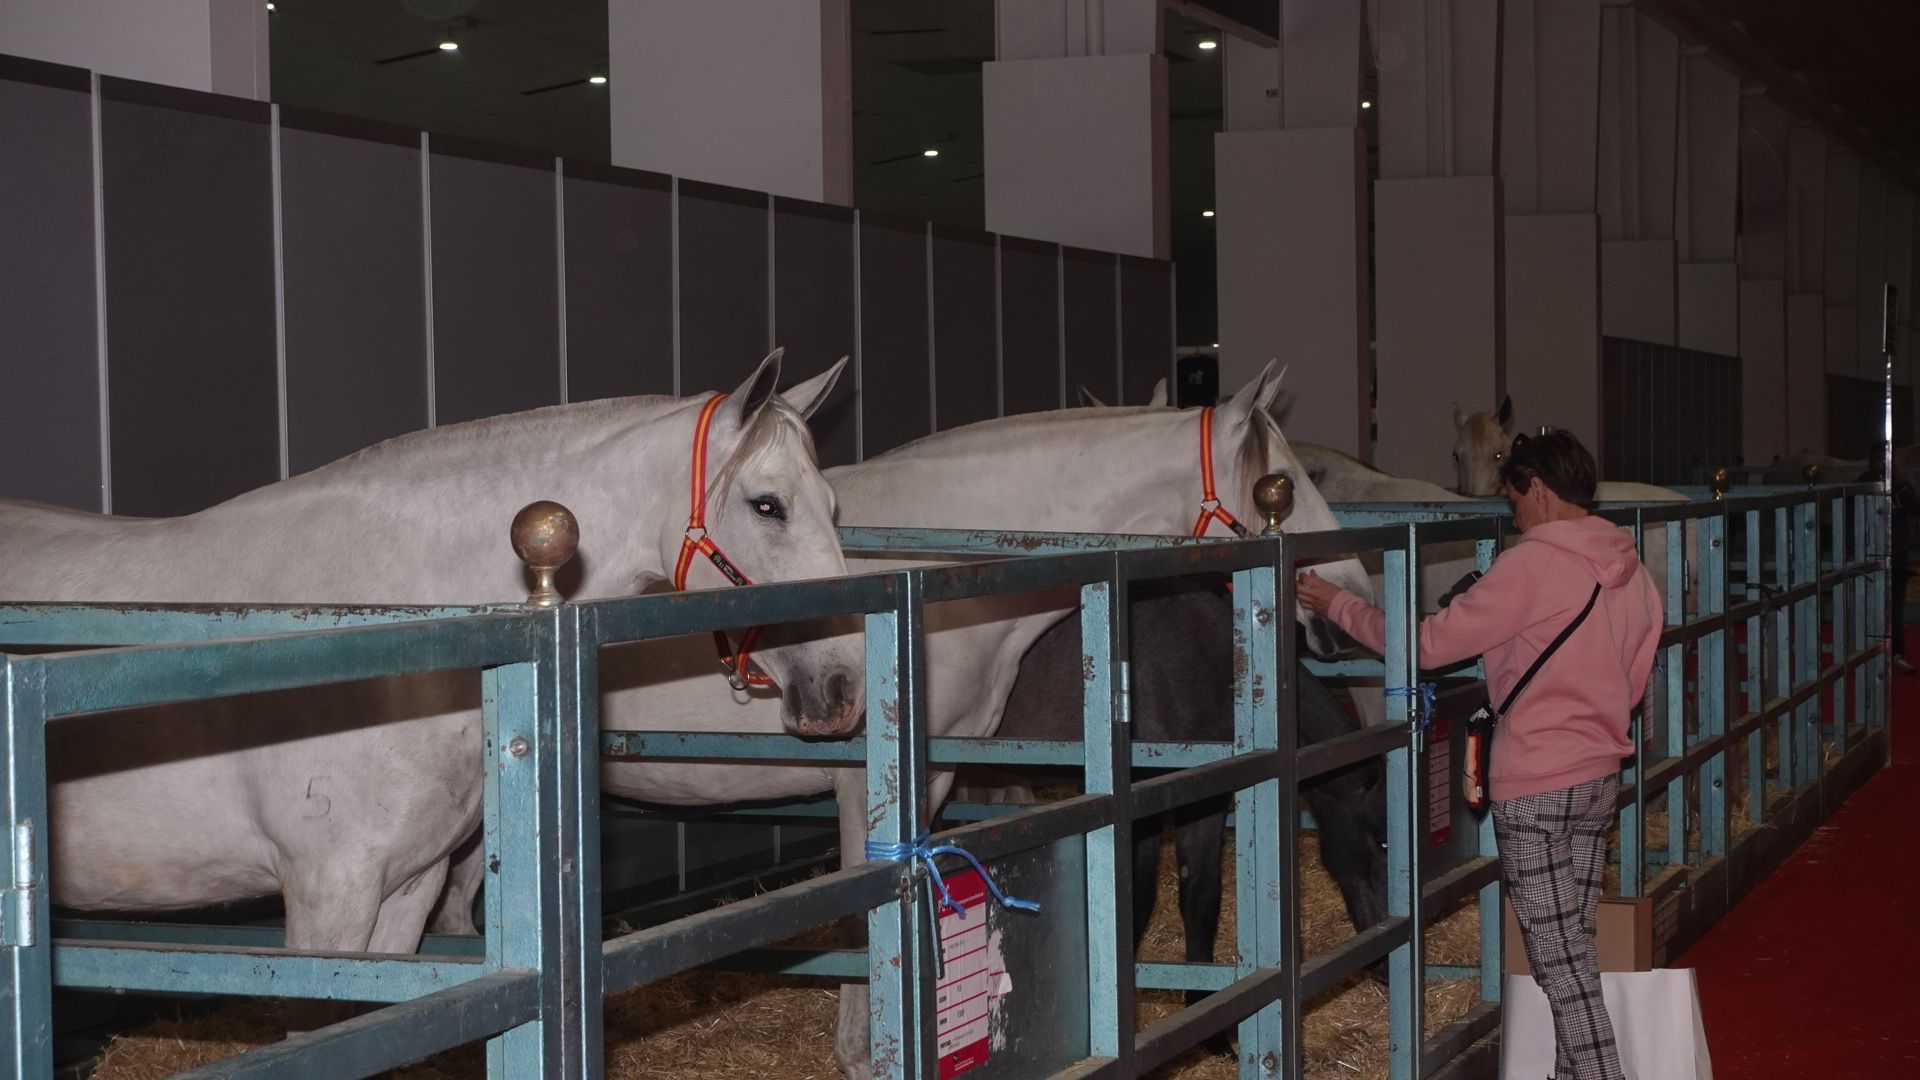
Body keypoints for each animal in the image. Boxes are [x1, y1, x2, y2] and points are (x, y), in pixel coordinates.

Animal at [0, 351, 856, 968]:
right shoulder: (328, 894)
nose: (844, 684)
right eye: (768, 505)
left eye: (832, 505)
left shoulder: (407, 889)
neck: (384, 622)